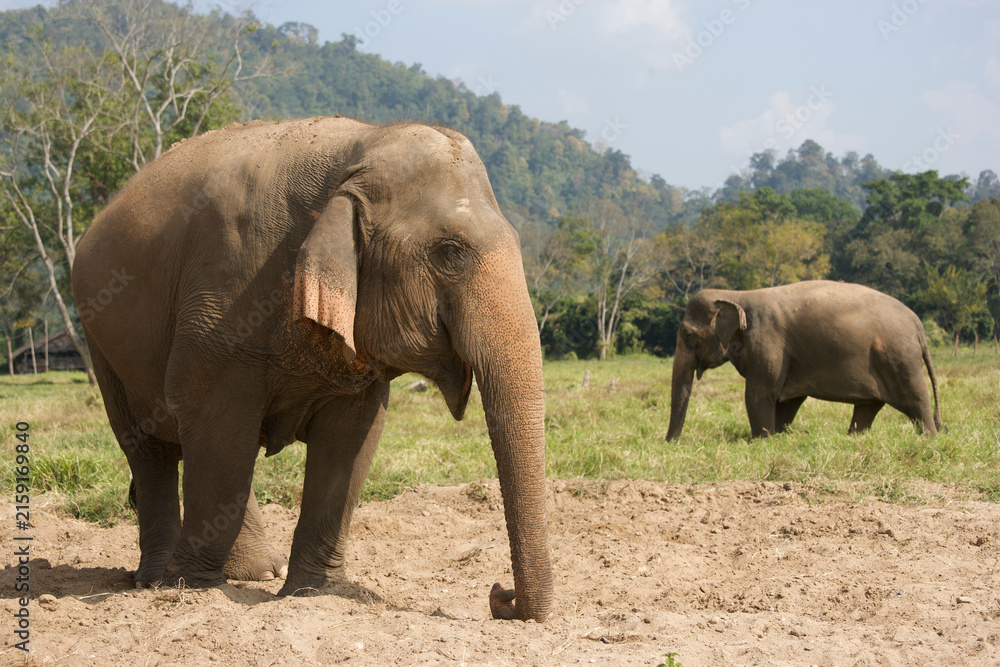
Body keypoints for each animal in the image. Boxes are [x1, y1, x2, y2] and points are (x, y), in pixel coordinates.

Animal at [71, 117, 552, 621]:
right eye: (450, 251)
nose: (500, 594)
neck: (359, 147)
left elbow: (350, 438)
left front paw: (315, 592)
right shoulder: (222, 301)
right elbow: (215, 420)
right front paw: (190, 587)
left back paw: (257, 574)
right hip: (100, 342)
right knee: (151, 449)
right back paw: (156, 580)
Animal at [666, 281, 943, 440]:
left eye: (688, 335)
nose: (672, 443)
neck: (738, 295)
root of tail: (918, 325)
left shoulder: (768, 341)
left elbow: (759, 393)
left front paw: (761, 440)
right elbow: (787, 400)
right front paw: (777, 436)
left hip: (900, 358)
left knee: (916, 399)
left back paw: (929, 438)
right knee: (868, 407)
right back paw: (854, 439)